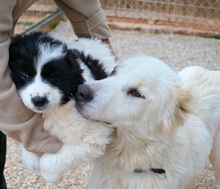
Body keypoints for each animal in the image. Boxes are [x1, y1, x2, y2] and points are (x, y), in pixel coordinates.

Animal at [8, 32, 117, 183]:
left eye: (53, 76)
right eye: (24, 75)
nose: (39, 100)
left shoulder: (95, 133)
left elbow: (50, 161)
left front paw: (50, 175)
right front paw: (31, 160)